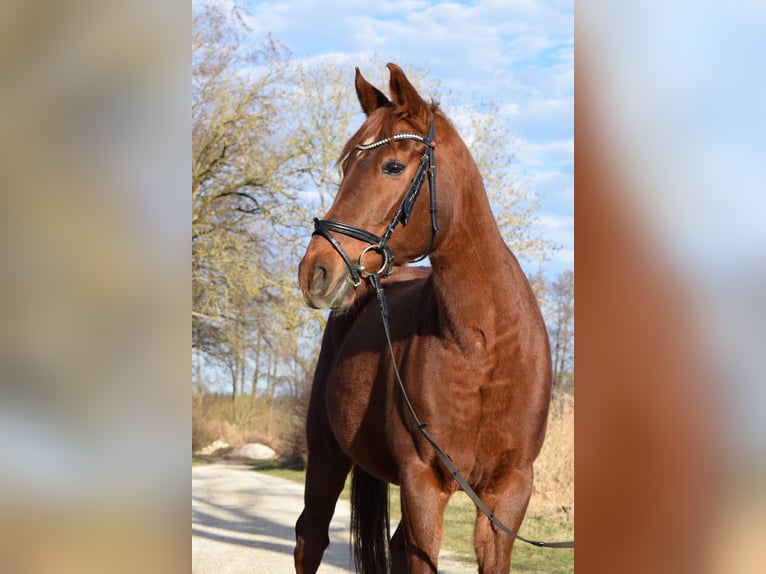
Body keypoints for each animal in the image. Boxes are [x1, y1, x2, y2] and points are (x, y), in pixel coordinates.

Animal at [296, 64, 556, 574]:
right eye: (345, 167)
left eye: (392, 167)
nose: (314, 271)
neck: (484, 345)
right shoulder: (422, 483)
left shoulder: (509, 492)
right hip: (326, 457)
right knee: (309, 538)